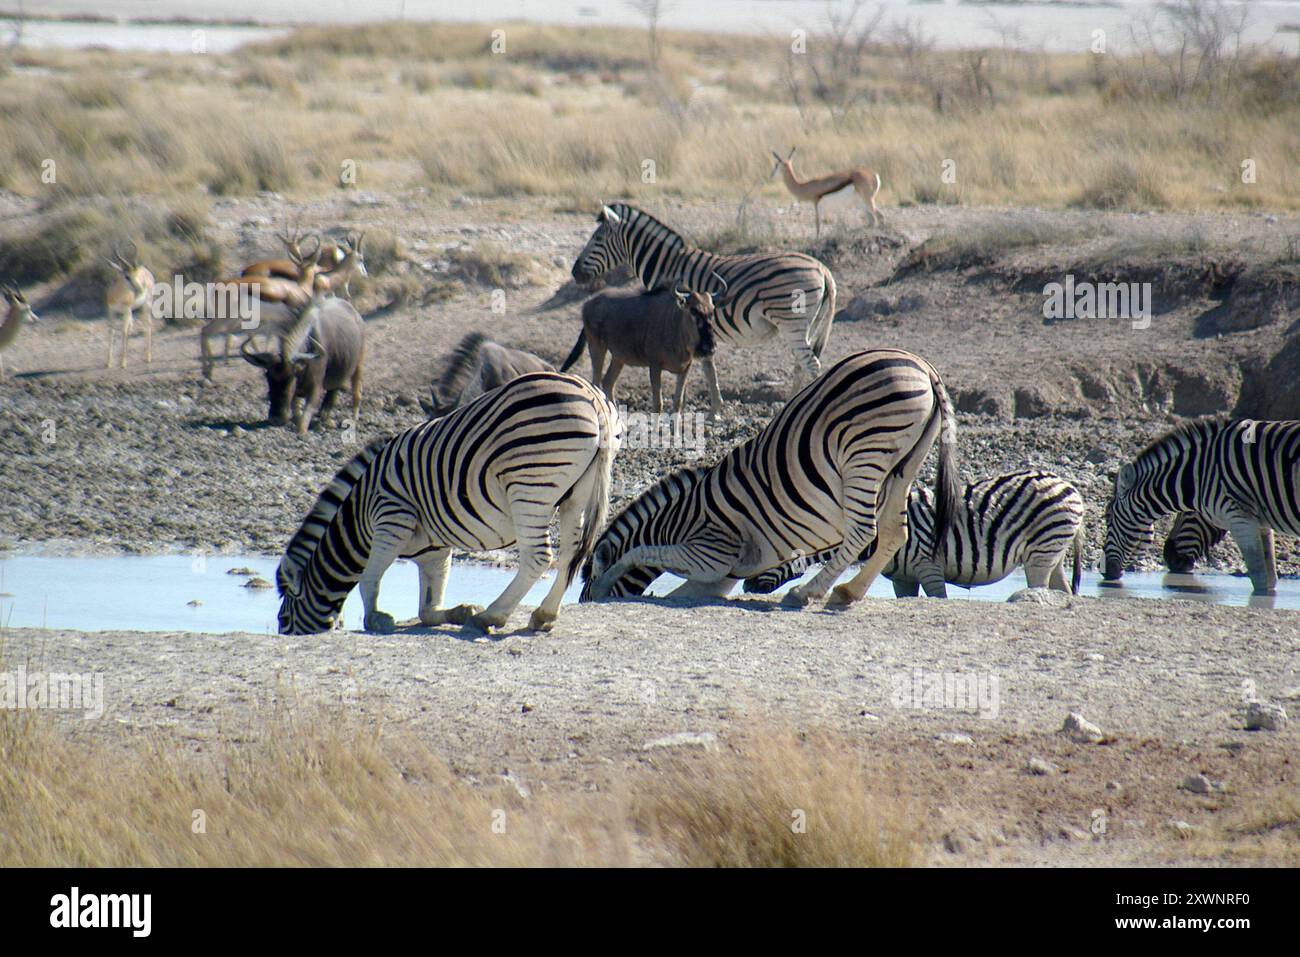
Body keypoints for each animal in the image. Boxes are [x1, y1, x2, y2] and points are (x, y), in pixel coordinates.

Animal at [276, 372, 621, 635]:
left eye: (283, 618)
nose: (284, 633)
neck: (358, 517)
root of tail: (591, 396)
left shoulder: (392, 516)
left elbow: (369, 578)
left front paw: (375, 618)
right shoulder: (434, 551)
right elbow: (429, 605)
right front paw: (460, 610)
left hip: (529, 485)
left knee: (538, 557)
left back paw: (492, 616)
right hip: (576, 495)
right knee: (570, 554)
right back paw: (544, 615)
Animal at [570, 203, 837, 412]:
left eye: (596, 240)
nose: (574, 272)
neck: (668, 264)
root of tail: (822, 268)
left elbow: (701, 367)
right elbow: (709, 366)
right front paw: (716, 410)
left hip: (792, 321)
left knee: (811, 364)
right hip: (807, 325)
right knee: (801, 363)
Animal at [580, 349, 959, 609]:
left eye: (586, 583)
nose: (584, 601)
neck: (675, 521)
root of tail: (921, 365)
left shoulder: (709, 552)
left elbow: (640, 551)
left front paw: (608, 581)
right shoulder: (720, 576)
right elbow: (676, 588)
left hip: (863, 453)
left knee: (864, 531)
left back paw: (806, 593)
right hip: (905, 464)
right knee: (895, 531)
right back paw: (846, 592)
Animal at [743, 469, 1085, 598]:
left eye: (767, 554)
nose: (745, 587)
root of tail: (1067, 485)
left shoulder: (928, 566)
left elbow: (938, 597)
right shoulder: (902, 579)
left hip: (1041, 552)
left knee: (1040, 587)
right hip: (1052, 554)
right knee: (1061, 591)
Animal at [1103, 417, 1300, 595]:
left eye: (1107, 517)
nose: (1169, 558)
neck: (1206, 471)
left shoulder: (1240, 518)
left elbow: (1259, 578)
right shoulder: (1261, 523)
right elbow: (1270, 578)